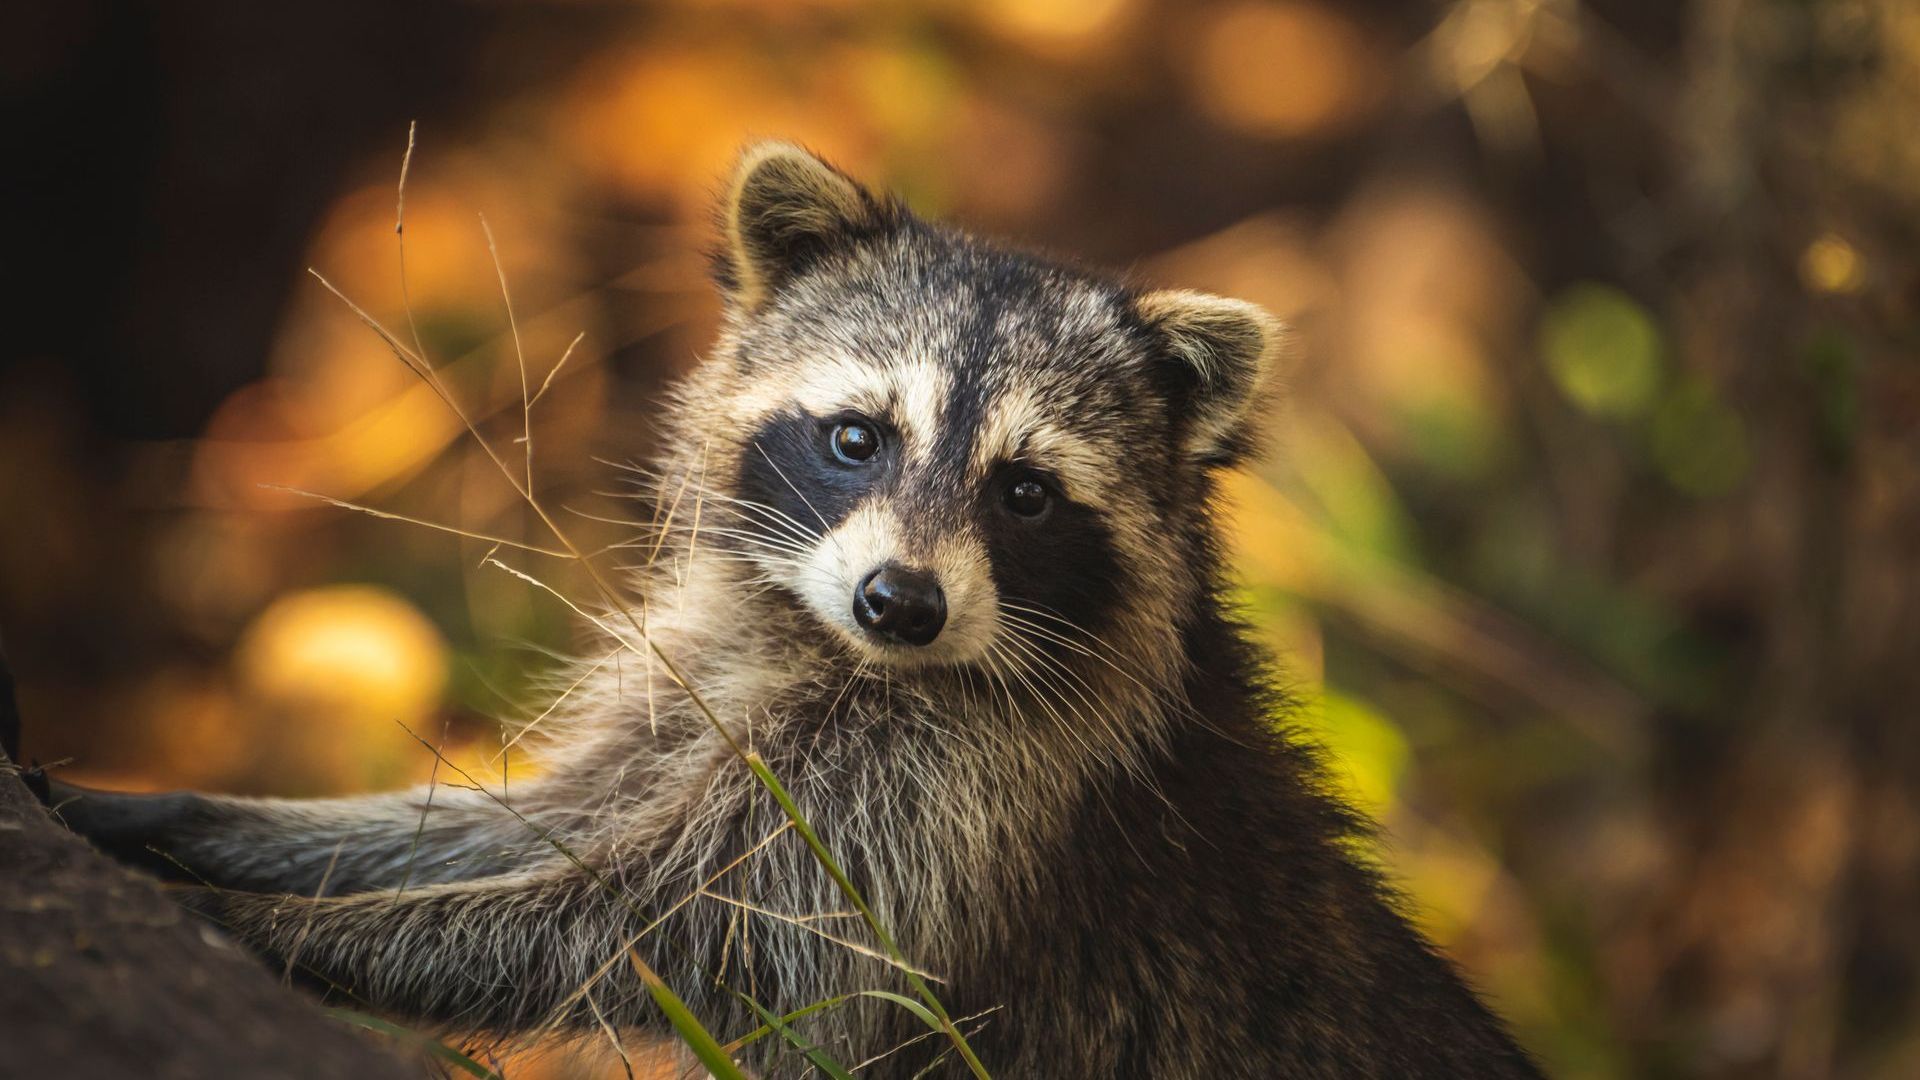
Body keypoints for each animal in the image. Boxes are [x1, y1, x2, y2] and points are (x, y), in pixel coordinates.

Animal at [52, 145, 1536, 1076]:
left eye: (1025, 494)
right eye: (855, 438)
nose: (901, 604)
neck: (831, 650)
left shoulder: (965, 799)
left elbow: (651, 928)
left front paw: (274, 928)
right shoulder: (709, 688)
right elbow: (518, 828)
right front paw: (201, 826)